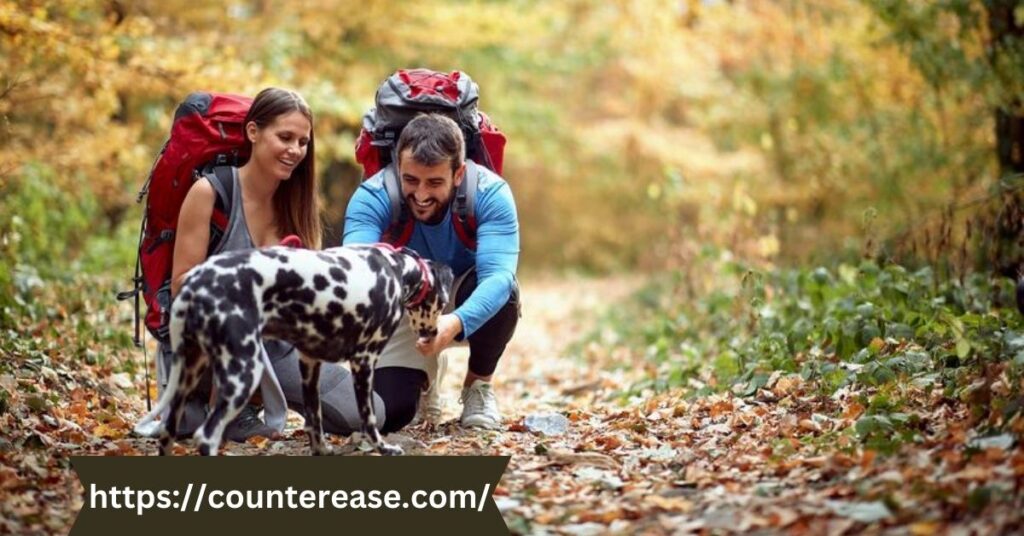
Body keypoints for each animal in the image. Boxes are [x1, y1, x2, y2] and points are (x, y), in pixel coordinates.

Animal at [135, 242, 452, 457]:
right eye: (441, 303)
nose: (434, 334)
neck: (396, 269)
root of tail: (196, 283)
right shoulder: (364, 361)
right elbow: (370, 420)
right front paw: (383, 448)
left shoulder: (309, 363)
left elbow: (315, 420)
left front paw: (321, 450)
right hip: (243, 373)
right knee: (207, 436)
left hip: (188, 378)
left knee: (168, 434)